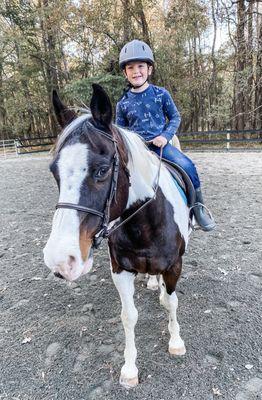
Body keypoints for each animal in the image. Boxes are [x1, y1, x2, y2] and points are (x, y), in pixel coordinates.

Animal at [43, 83, 190, 388]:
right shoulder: (120, 270)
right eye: (54, 172)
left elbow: (172, 303)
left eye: (101, 170)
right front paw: (130, 368)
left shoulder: (174, 265)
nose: (60, 260)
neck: (144, 225)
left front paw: (176, 342)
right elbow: (128, 316)